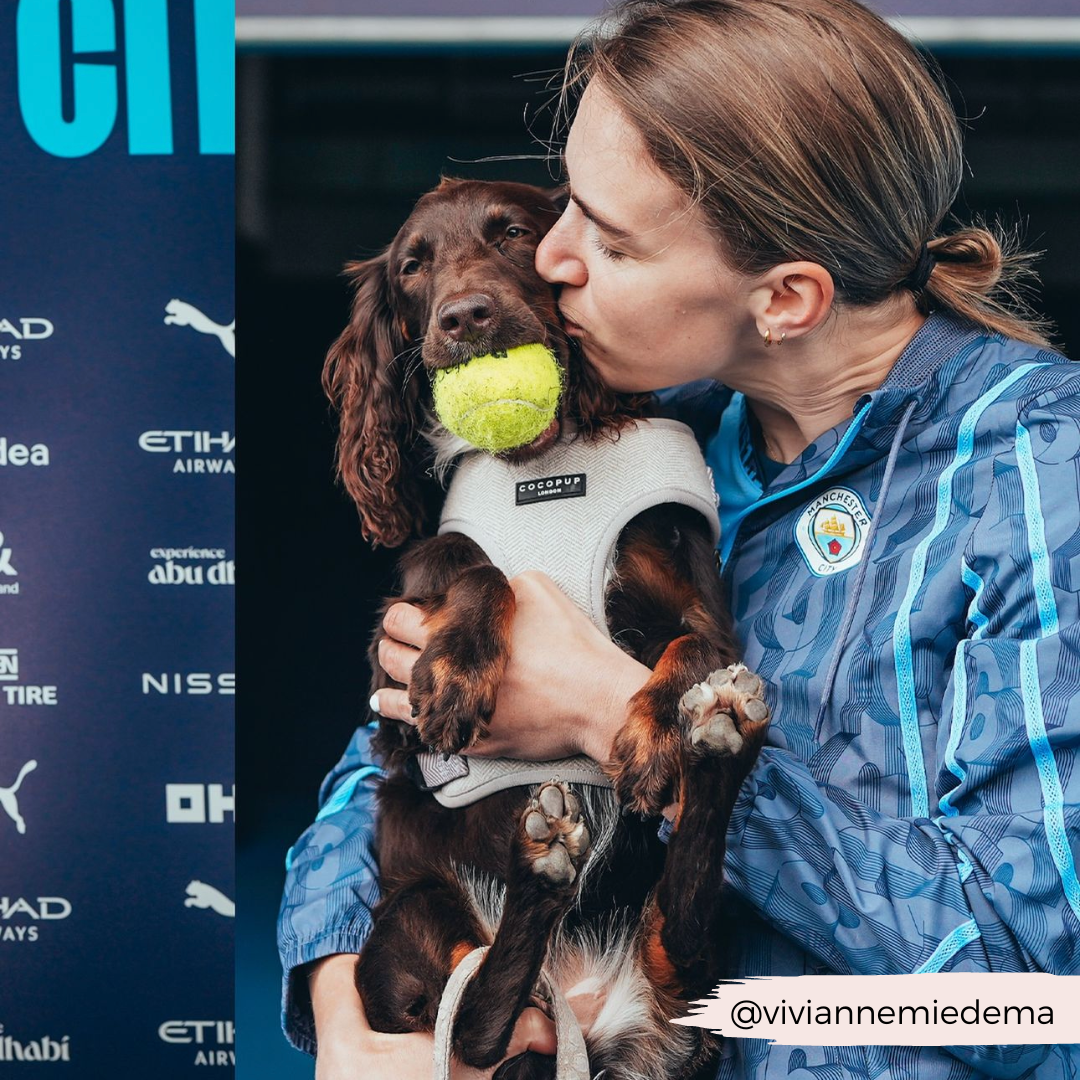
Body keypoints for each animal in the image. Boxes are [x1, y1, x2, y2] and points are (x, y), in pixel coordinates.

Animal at [319, 179, 768, 1080]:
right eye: (413, 265)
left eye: (515, 234)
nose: (464, 315)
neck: (546, 463)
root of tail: (584, 1009)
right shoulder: (406, 618)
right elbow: (480, 569)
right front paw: (457, 673)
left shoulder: (699, 603)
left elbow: (691, 645)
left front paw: (650, 736)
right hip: (410, 913)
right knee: (473, 1023)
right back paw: (545, 874)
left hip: (692, 967)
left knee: (684, 935)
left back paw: (714, 746)